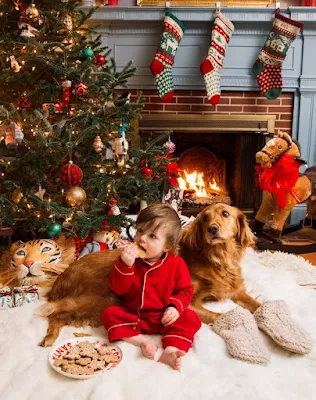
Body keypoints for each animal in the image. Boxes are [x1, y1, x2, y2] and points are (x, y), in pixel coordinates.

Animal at [38, 203, 258, 346]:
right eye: (205, 218)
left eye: (225, 213)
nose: (212, 229)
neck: (218, 259)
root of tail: (64, 275)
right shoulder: (192, 303)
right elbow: (222, 314)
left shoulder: (236, 290)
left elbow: (256, 305)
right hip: (100, 300)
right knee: (56, 312)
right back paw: (49, 337)